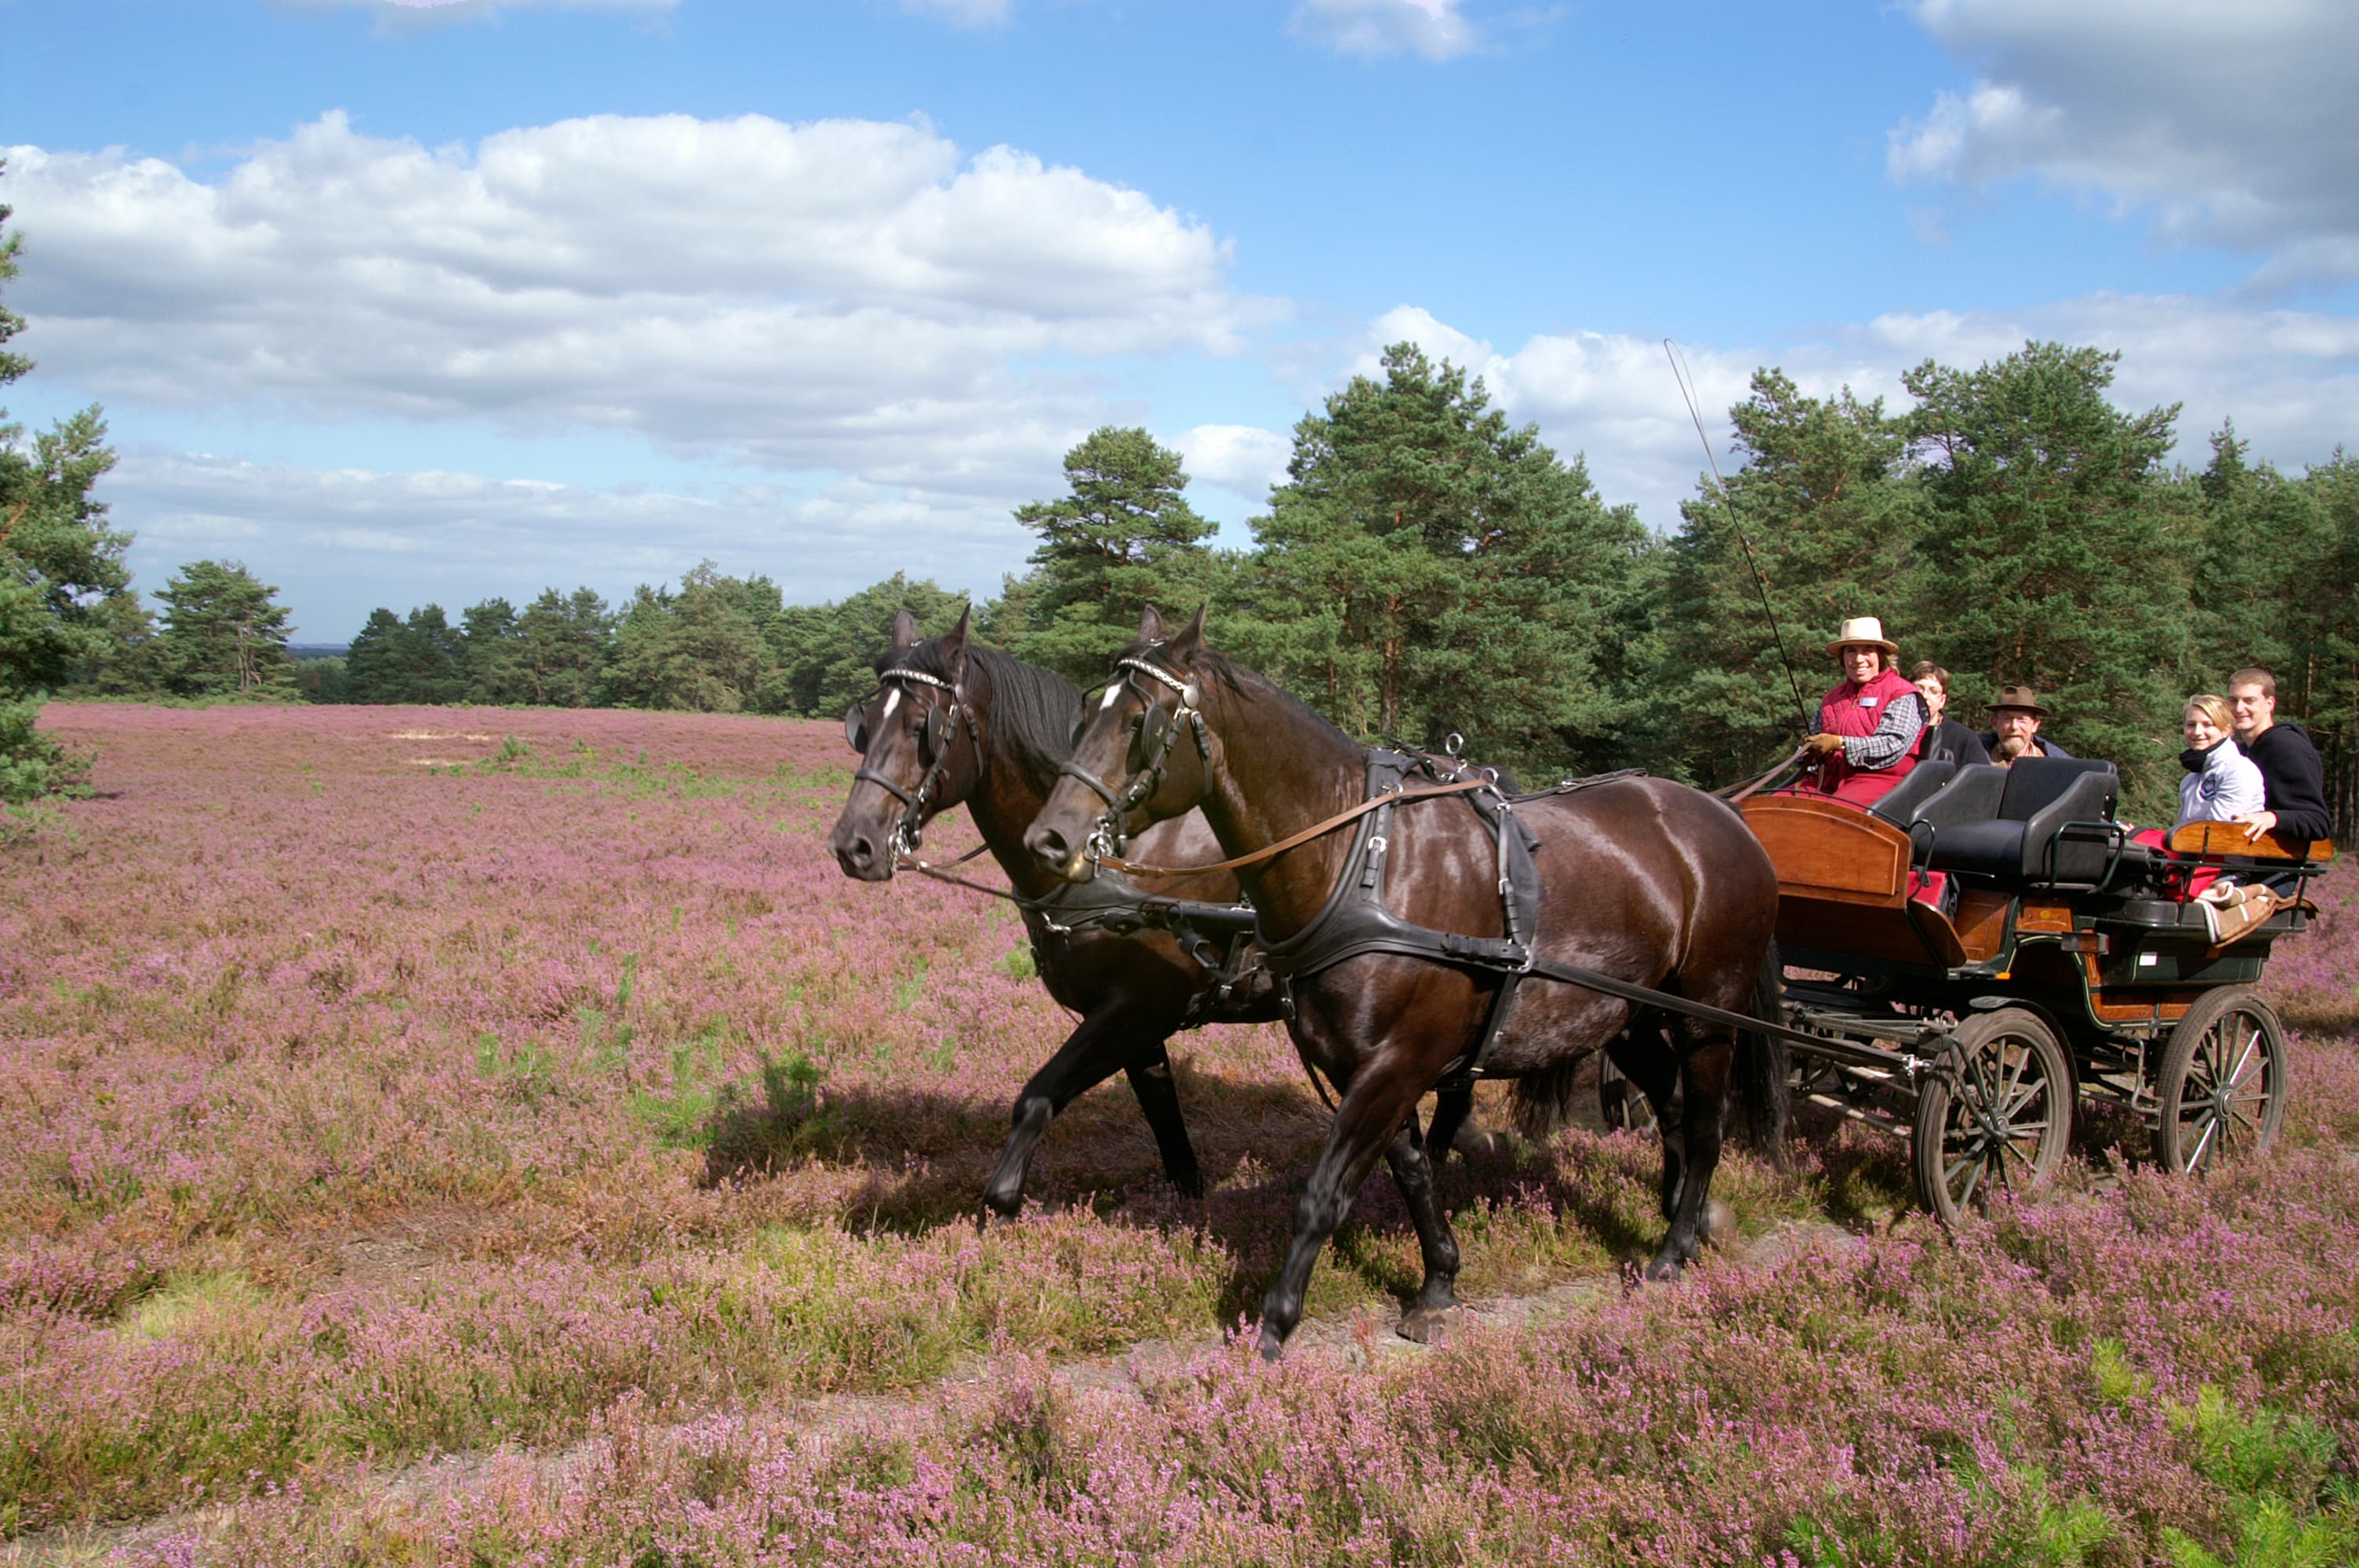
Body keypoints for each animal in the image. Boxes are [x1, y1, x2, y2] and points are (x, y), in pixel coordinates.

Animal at [1023, 603, 1774, 1348]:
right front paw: (1438, 1282)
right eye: (1088, 714)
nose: (1048, 841)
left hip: (1708, 1014)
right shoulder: (1369, 1064)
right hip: (1628, 1019)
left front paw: (1275, 1323)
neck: (1358, 864)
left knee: (1705, 1126)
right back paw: (1687, 1221)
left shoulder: (1398, 1061)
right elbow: (1412, 1173)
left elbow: (1324, 1193)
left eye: (1141, 722)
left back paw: (1672, 1253)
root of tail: (1723, 812)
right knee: (1670, 1108)